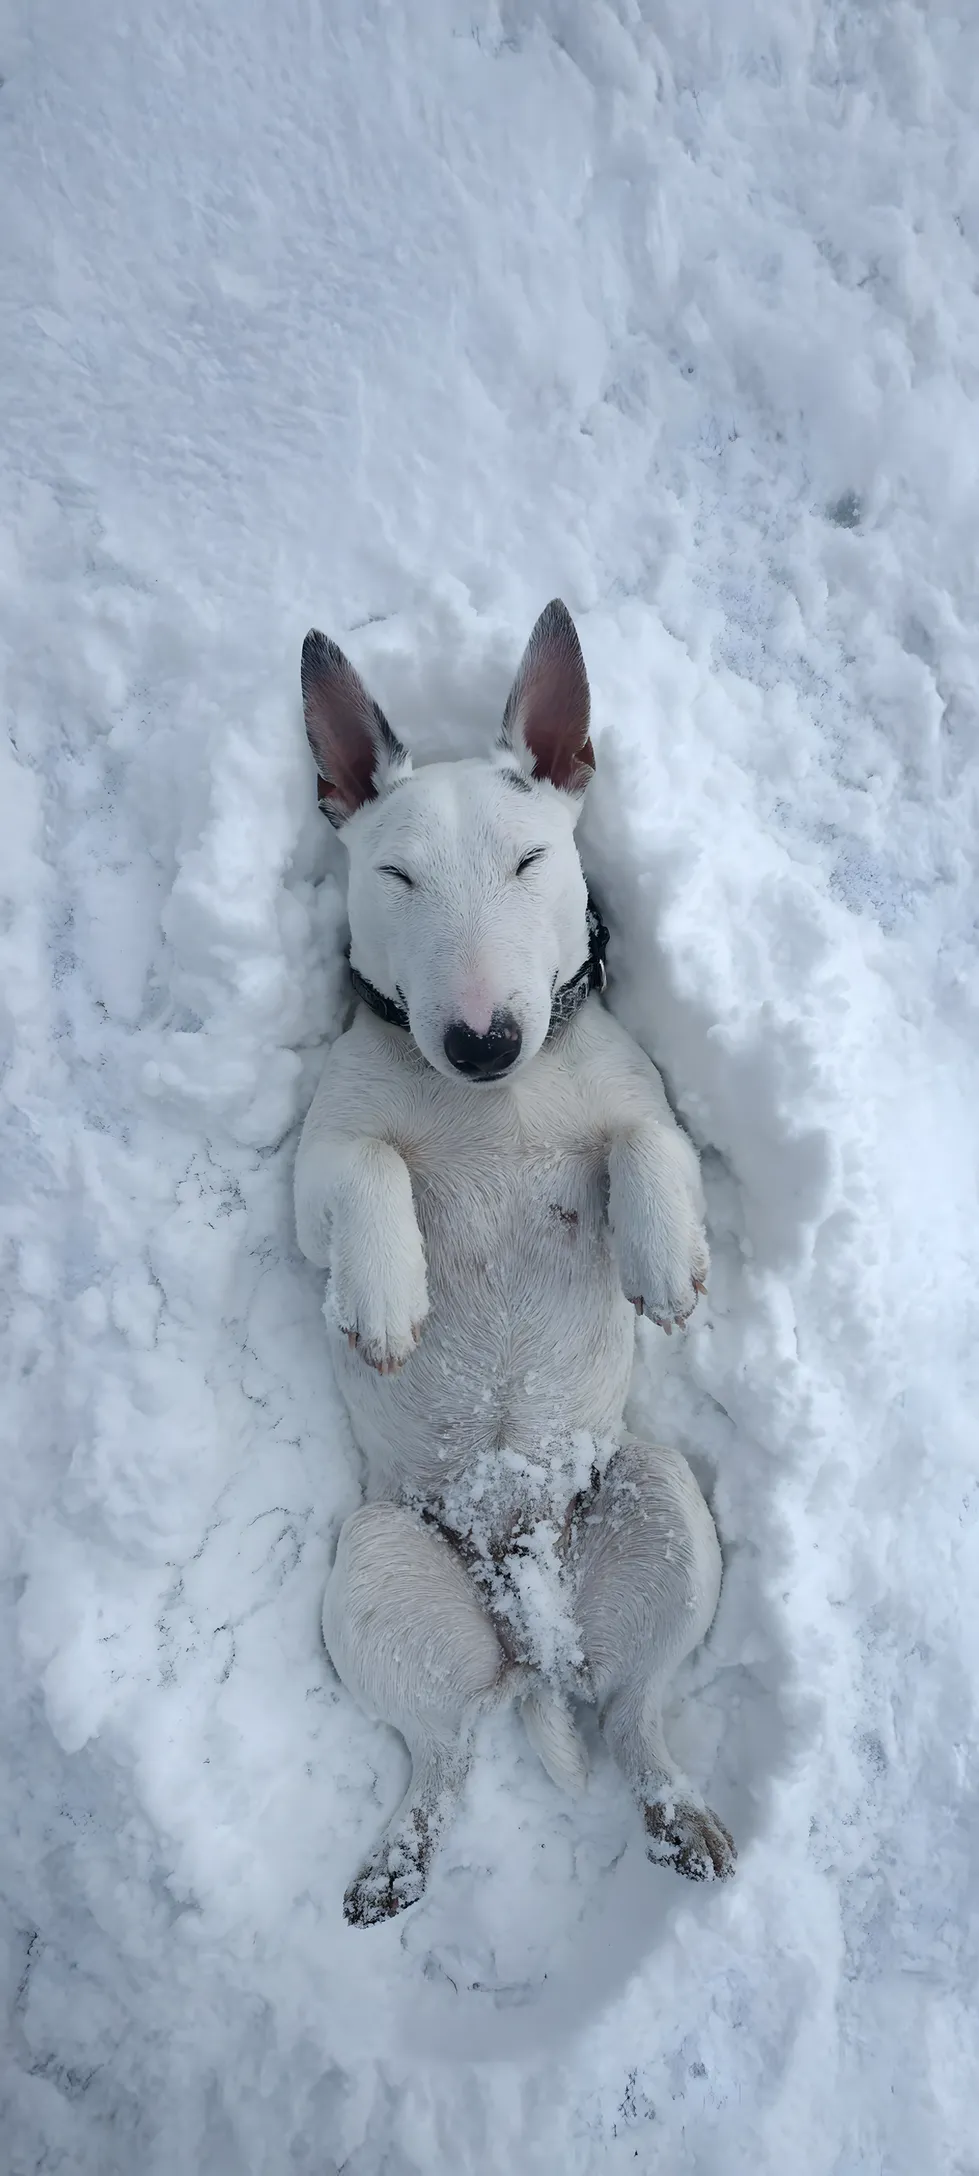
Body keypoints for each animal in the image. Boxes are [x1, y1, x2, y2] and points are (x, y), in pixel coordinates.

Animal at [294, 601, 736, 1925]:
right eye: (393, 874)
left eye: (533, 861)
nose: (480, 1040)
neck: (496, 1103)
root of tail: (528, 1601)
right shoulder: (310, 1175)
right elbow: (361, 1171)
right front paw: (387, 1299)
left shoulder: (640, 1102)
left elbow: (650, 1142)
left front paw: (663, 1265)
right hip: (378, 1572)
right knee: (442, 1747)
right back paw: (395, 1862)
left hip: (661, 1511)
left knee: (637, 1711)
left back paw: (680, 1817)